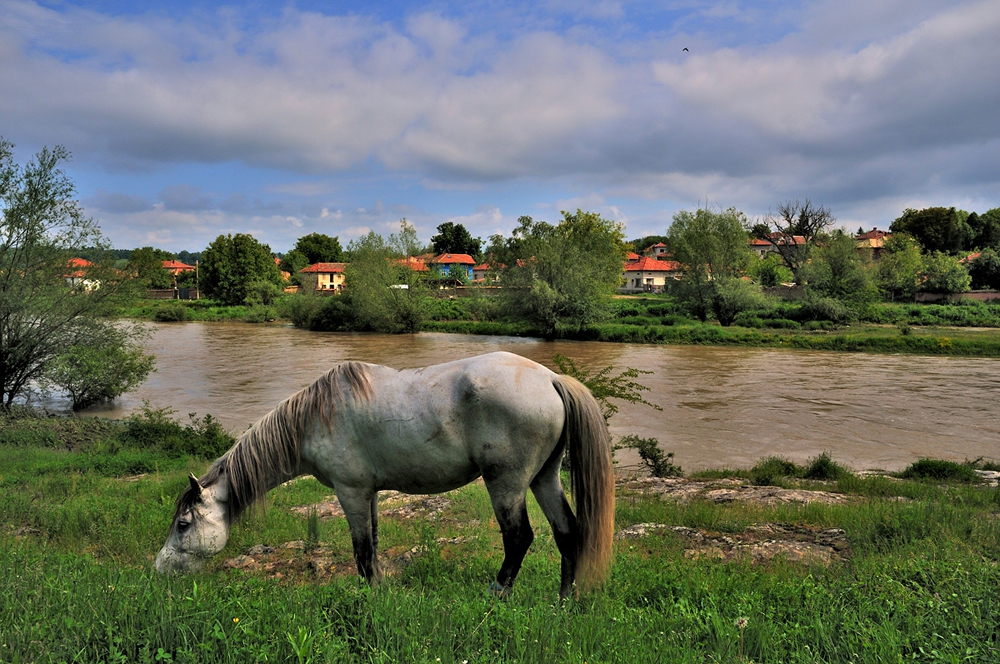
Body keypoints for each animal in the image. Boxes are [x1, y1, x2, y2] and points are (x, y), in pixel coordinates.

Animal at [156, 350, 612, 600]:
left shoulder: (351, 492)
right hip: (544, 478)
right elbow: (373, 544)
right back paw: (564, 600)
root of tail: (550, 379)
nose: (159, 570)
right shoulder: (370, 493)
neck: (314, 419)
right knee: (567, 532)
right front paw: (380, 589)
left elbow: (362, 552)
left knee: (519, 538)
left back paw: (497, 594)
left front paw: (368, 596)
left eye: (183, 524)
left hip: (507, 483)